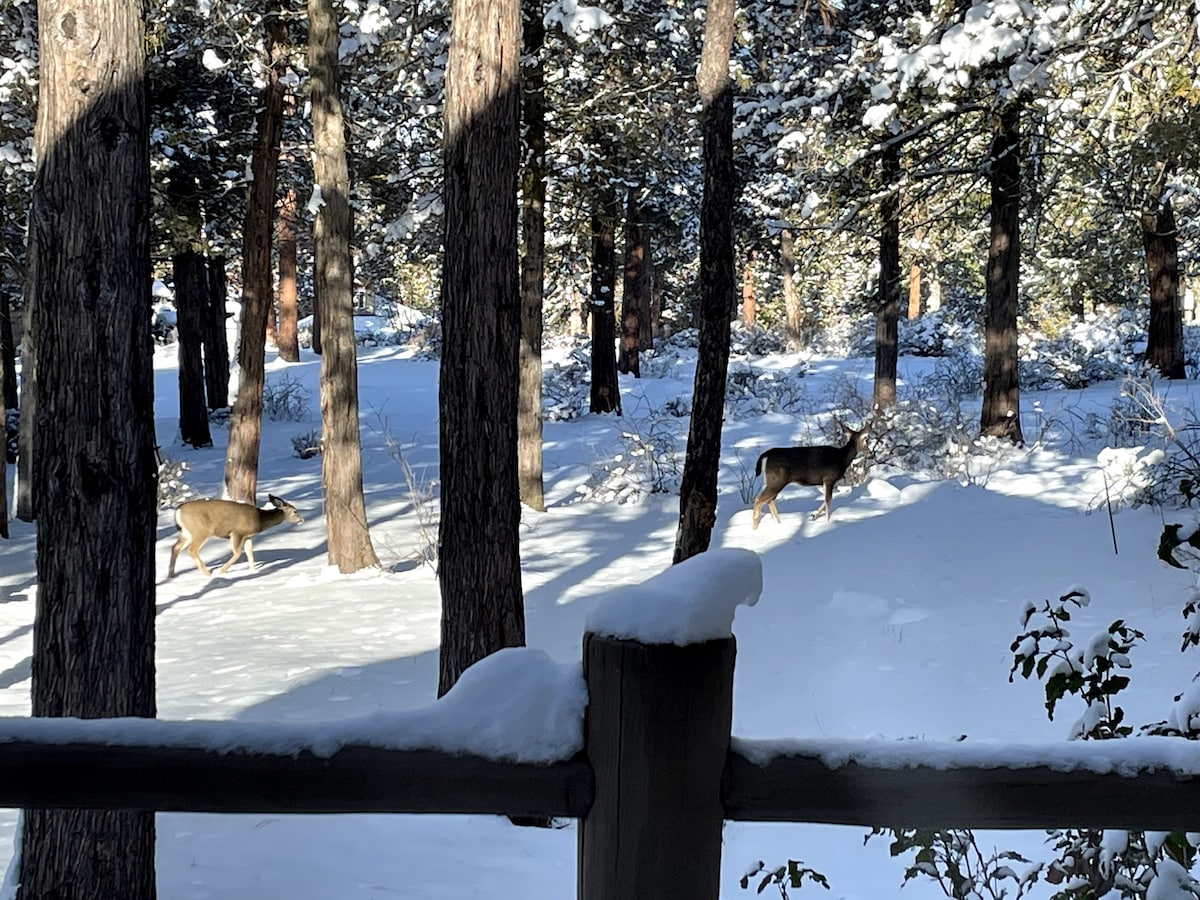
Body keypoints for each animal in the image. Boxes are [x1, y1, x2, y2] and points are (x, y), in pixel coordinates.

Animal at [169, 494, 304, 578]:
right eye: (295, 511)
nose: (301, 520)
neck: (260, 519)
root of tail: (178, 510)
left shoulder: (248, 536)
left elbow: (250, 553)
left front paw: (253, 571)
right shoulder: (237, 532)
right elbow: (237, 552)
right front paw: (221, 571)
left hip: (186, 532)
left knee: (175, 547)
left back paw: (171, 575)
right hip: (201, 530)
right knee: (191, 549)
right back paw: (208, 573)